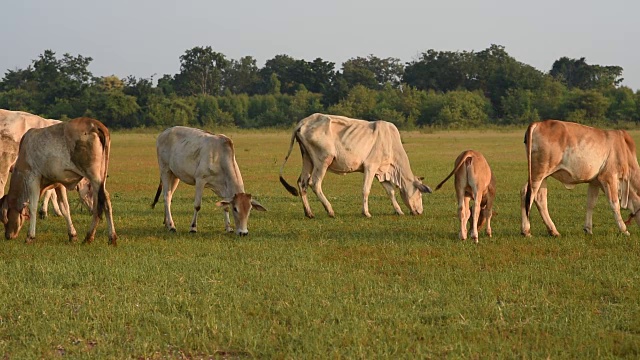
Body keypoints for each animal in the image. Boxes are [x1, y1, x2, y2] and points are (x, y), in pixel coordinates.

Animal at [278, 114, 432, 218]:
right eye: (419, 193)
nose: (420, 211)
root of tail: (303, 122)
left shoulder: (380, 171)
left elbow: (390, 191)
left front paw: (399, 211)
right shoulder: (370, 167)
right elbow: (366, 190)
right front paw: (366, 213)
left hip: (307, 158)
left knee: (302, 183)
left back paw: (309, 213)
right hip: (323, 161)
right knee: (314, 183)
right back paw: (330, 210)